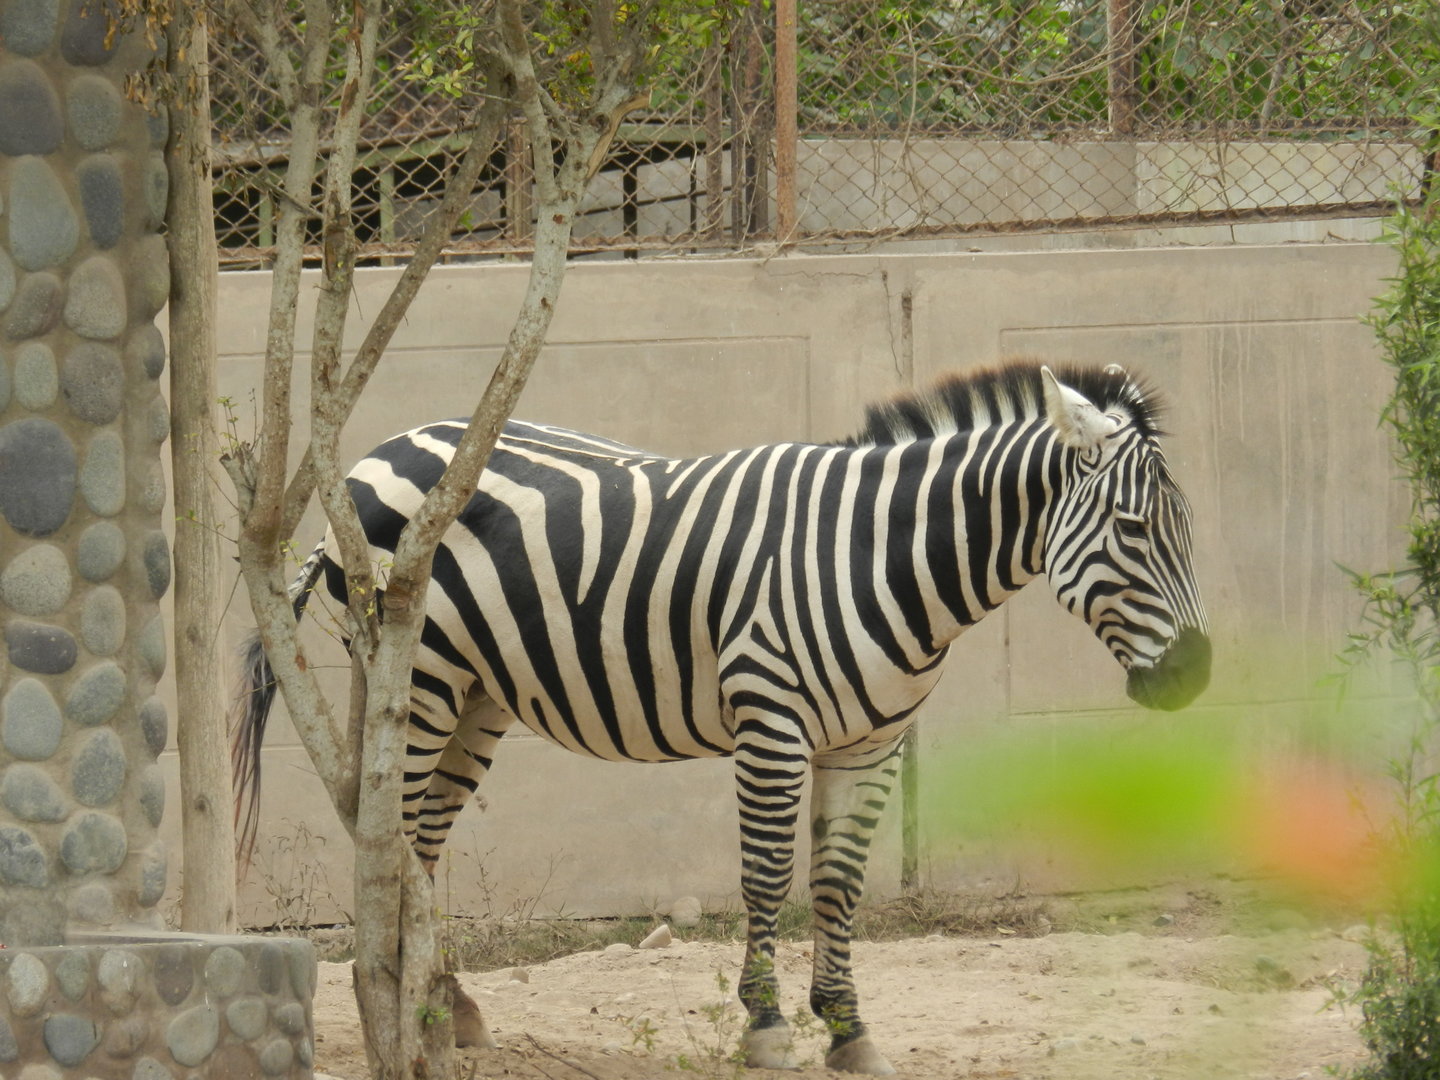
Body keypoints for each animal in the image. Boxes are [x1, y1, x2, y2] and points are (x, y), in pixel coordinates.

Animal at [233, 359, 1209, 1075]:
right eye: (1132, 529)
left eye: (1187, 531)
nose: (1195, 678)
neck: (876, 555)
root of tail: (374, 450)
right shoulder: (771, 722)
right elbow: (770, 876)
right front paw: (767, 1026)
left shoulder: (871, 744)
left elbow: (838, 884)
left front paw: (848, 1030)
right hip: (422, 678)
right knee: (393, 839)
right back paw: (405, 1003)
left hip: (475, 694)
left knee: (421, 844)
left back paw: (444, 1005)